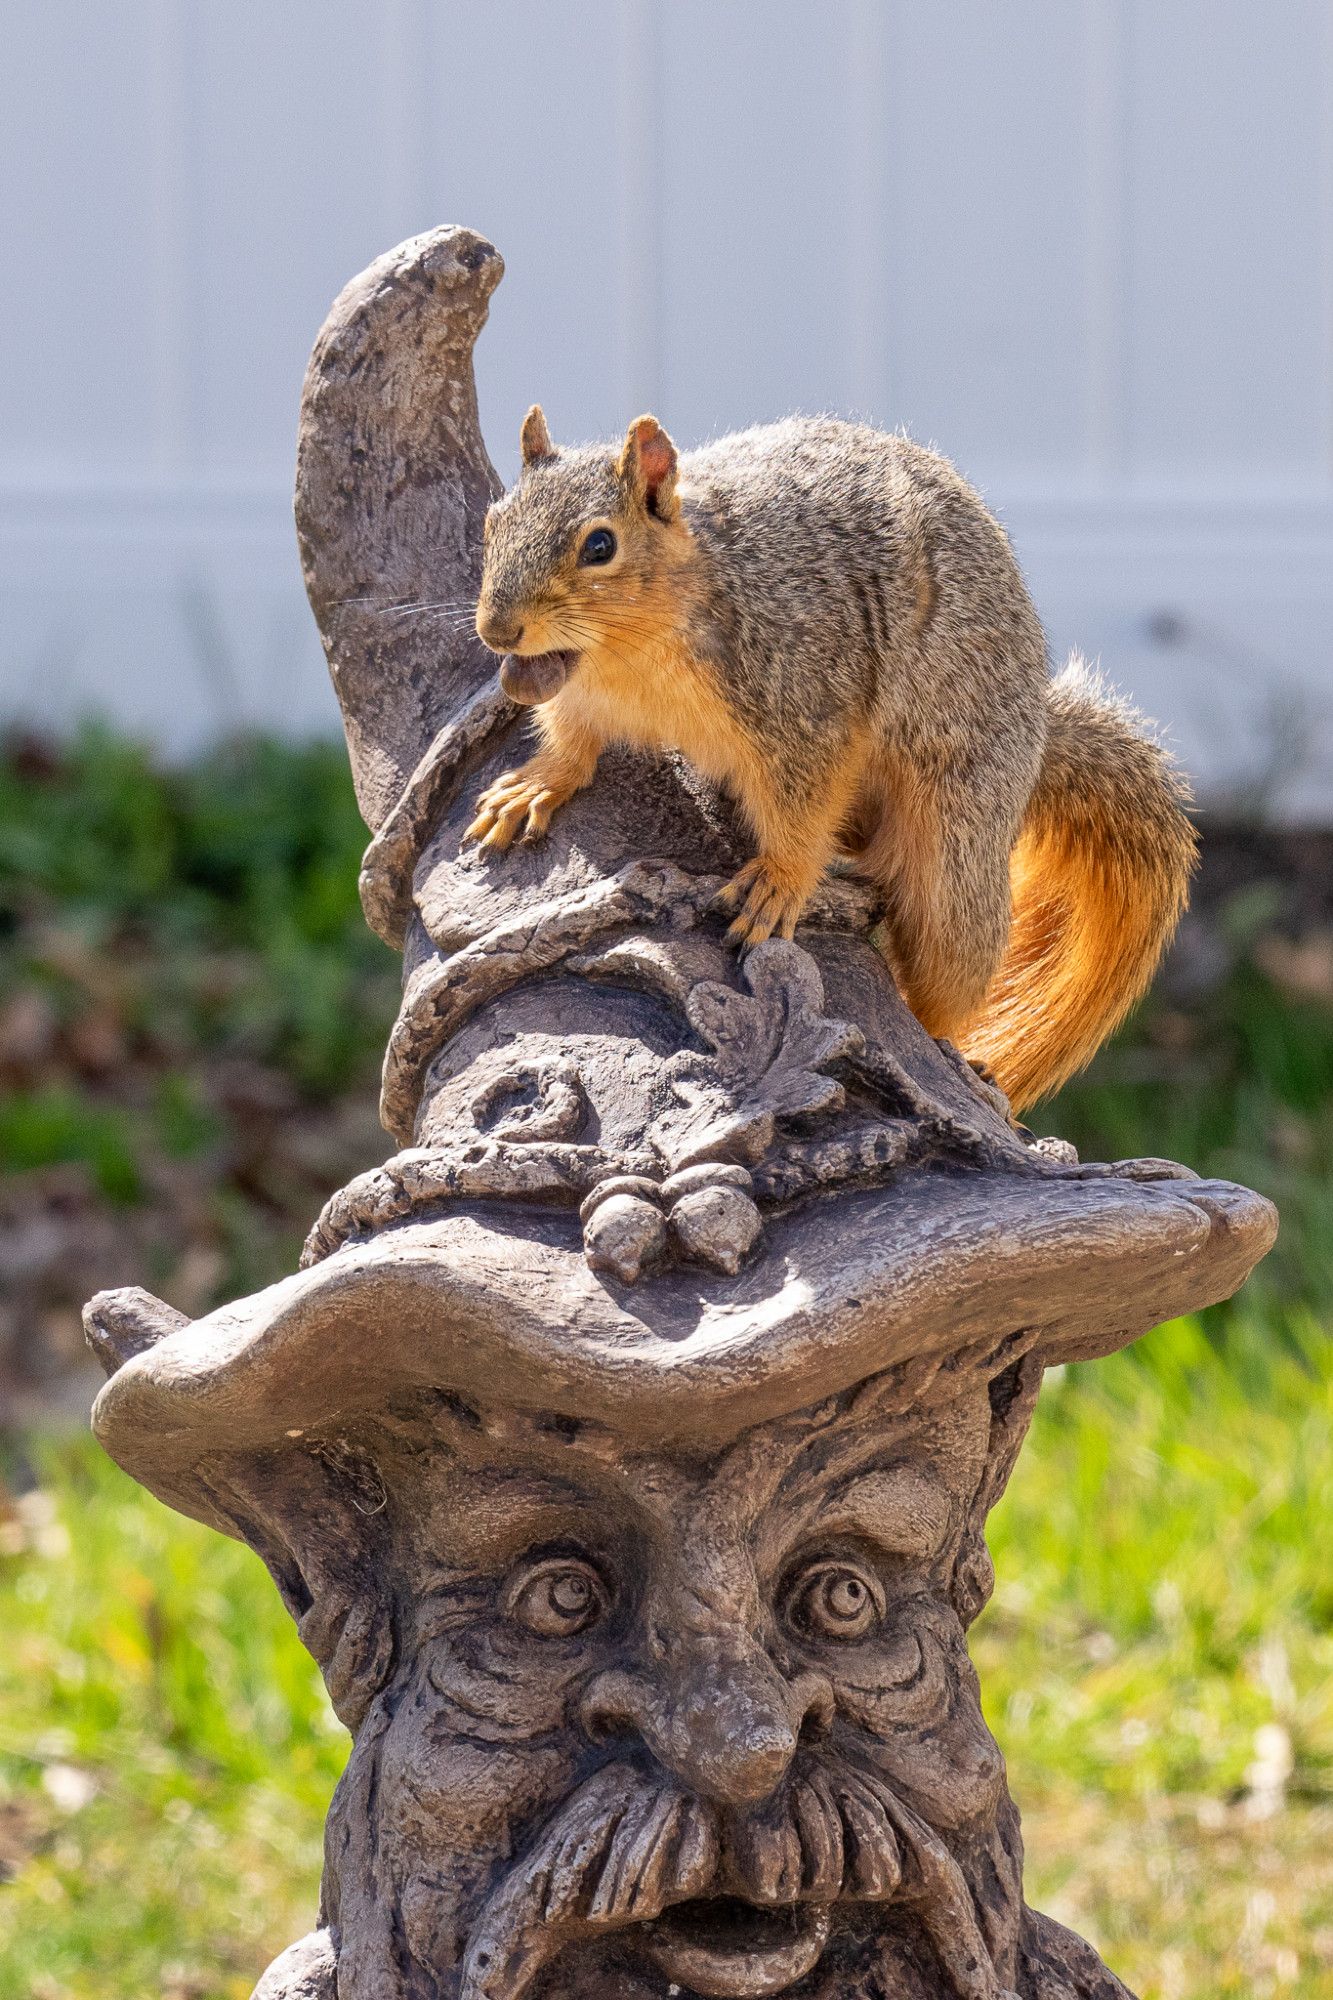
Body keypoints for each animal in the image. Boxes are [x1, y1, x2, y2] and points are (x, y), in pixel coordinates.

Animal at [462, 408, 1184, 1120]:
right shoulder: (580, 696)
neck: (629, 657)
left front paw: (779, 881)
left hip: (960, 827)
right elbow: (572, 743)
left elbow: (806, 806)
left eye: (600, 546)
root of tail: (1035, 741)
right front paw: (535, 784)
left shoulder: (807, 697)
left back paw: (949, 1047)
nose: (497, 630)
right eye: (493, 521)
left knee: (948, 958)